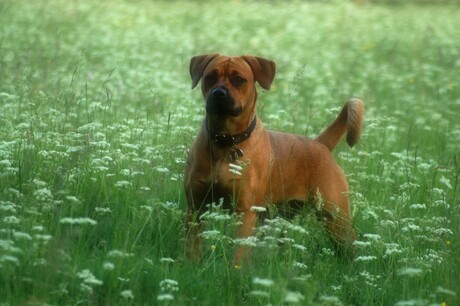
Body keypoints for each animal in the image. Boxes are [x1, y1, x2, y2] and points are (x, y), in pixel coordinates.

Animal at [183, 53, 362, 266]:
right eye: (210, 76)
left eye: (239, 79)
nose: (218, 93)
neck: (226, 141)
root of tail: (320, 144)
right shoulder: (196, 206)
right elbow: (193, 247)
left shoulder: (246, 211)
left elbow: (239, 254)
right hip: (279, 218)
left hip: (336, 218)